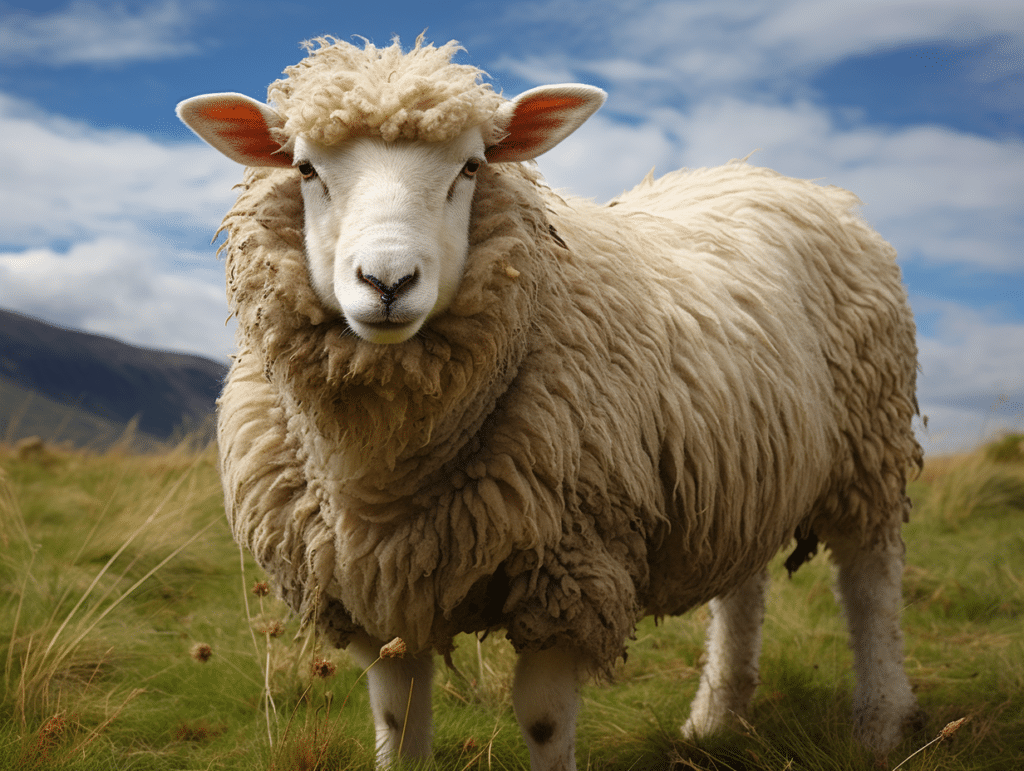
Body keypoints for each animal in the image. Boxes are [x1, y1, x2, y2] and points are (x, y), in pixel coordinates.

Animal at [177, 35, 924, 770]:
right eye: (306, 169)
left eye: (471, 166)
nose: (388, 282)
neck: (380, 481)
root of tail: (772, 175)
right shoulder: (370, 590)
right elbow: (399, 722)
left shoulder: (571, 574)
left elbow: (541, 721)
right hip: (744, 466)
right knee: (744, 588)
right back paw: (716, 716)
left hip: (869, 441)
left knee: (870, 580)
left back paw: (878, 723)